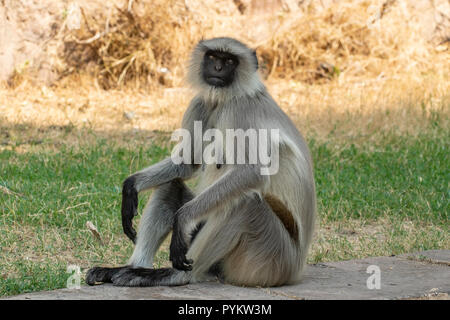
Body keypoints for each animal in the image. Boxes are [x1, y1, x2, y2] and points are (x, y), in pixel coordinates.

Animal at [85, 37, 316, 288]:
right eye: (213, 57)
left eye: (229, 61)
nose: (218, 68)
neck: (225, 100)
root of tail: (296, 269)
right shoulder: (201, 103)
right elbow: (188, 162)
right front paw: (130, 186)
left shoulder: (240, 110)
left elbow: (251, 173)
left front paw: (183, 217)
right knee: (171, 186)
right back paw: (130, 269)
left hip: (269, 261)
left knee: (244, 203)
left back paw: (174, 275)